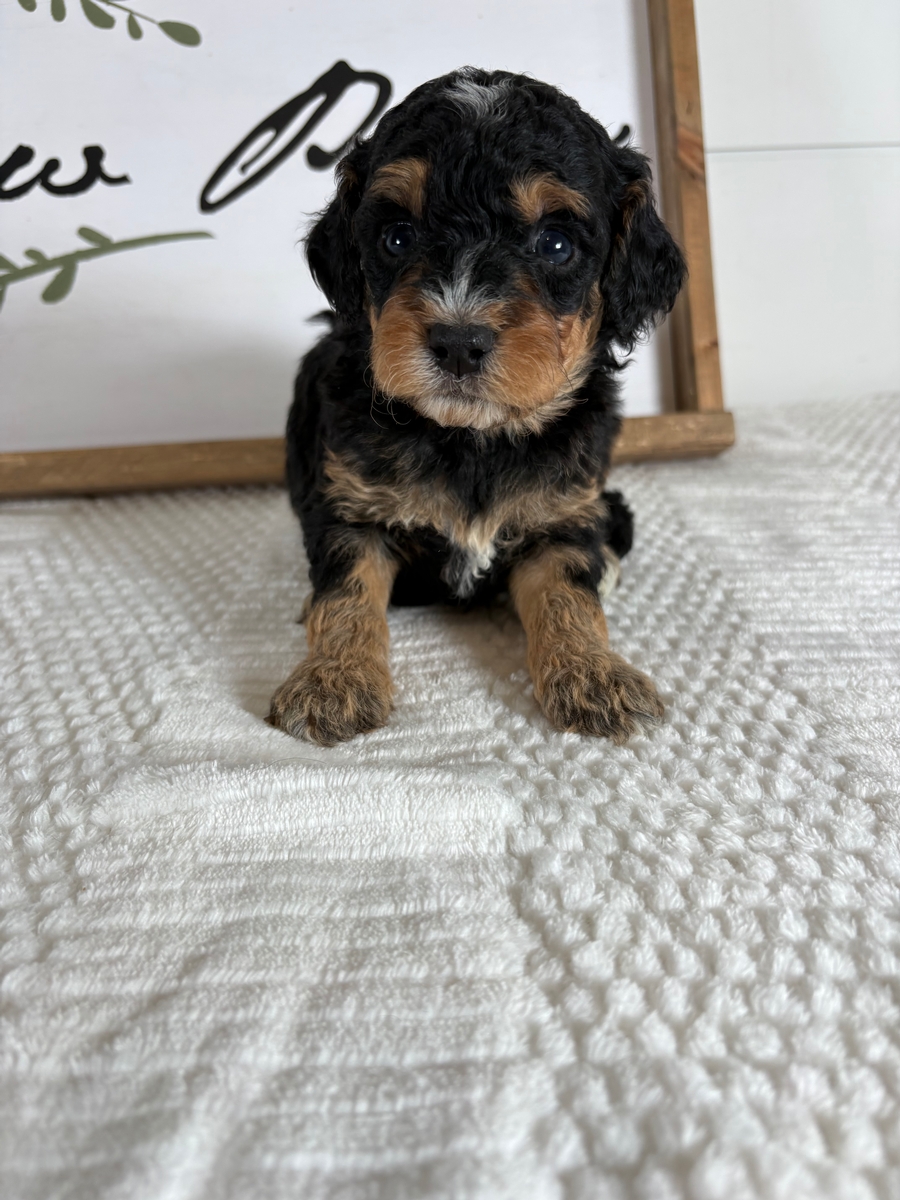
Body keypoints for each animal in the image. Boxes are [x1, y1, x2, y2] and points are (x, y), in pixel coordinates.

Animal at [268, 67, 686, 746]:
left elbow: (570, 593)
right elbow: (346, 592)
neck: (472, 437)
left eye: (556, 244)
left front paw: (595, 676)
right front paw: (333, 682)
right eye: (397, 237)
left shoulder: (562, 513)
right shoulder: (351, 510)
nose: (458, 342)